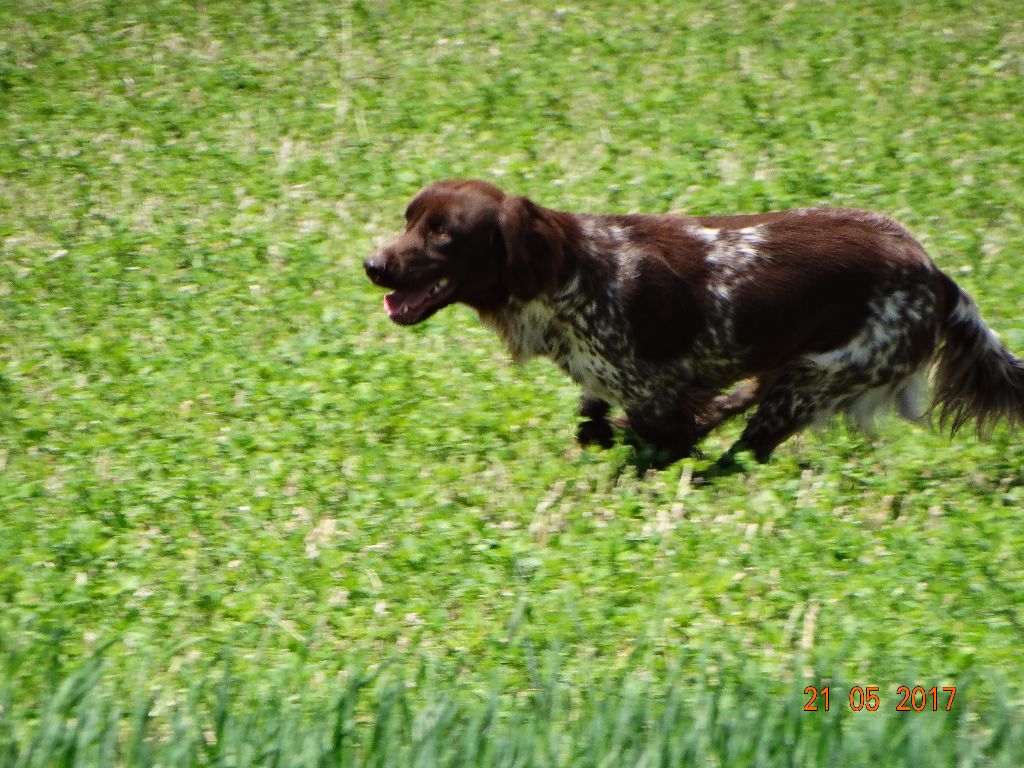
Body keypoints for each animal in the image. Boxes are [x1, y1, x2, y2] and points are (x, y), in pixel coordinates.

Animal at [368, 180, 1024, 462]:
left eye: (444, 234)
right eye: (408, 218)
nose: (372, 265)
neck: (573, 275)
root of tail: (936, 276)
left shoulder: (653, 400)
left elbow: (654, 442)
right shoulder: (622, 390)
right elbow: (593, 423)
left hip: (817, 380)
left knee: (740, 454)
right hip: (796, 372)